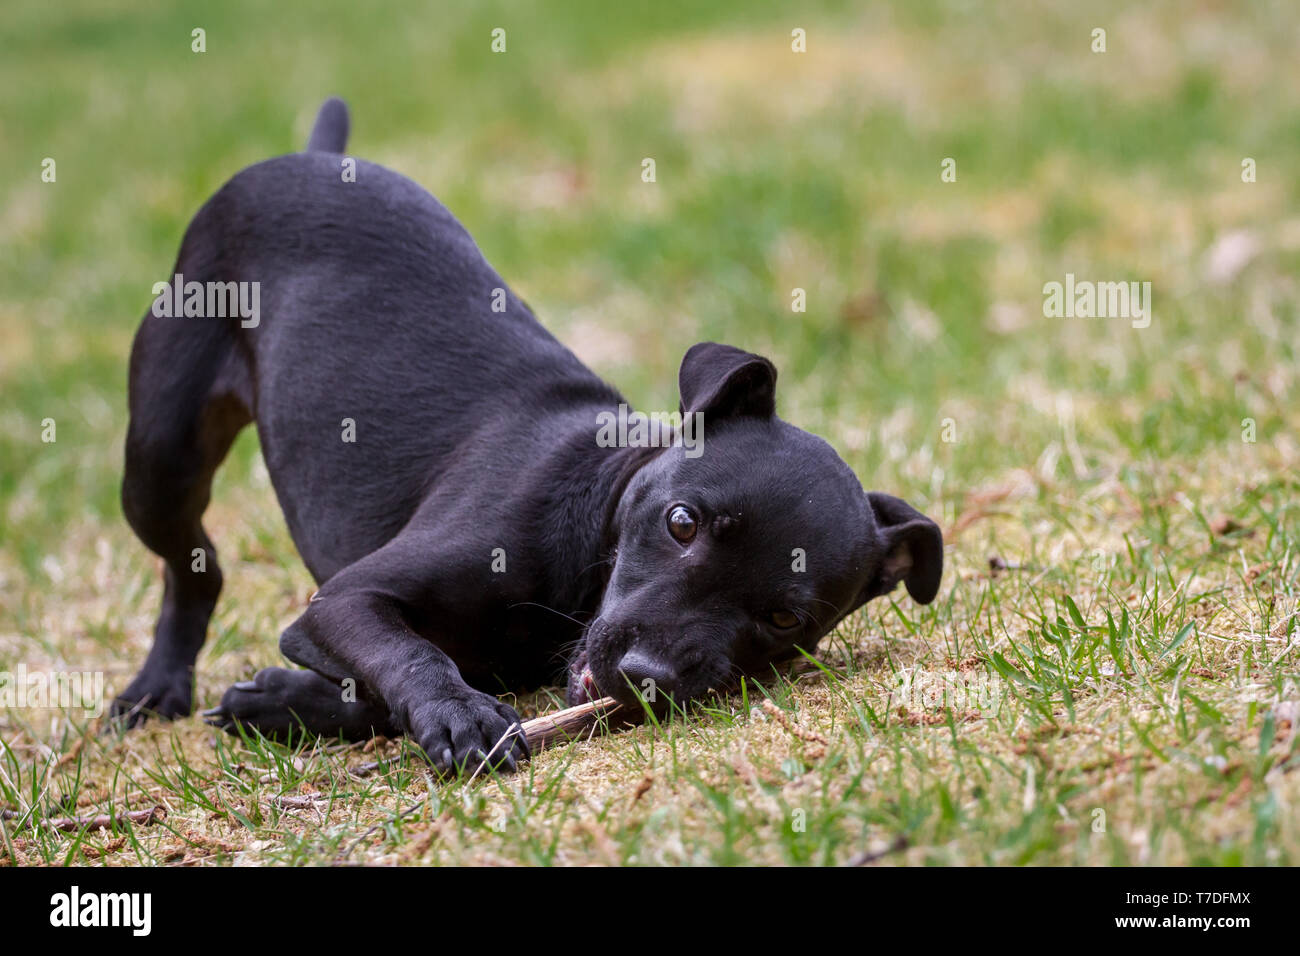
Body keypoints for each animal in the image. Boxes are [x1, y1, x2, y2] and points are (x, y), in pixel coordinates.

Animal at [111, 97, 946, 775]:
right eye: (682, 522)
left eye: (783, 620)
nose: (646, 676)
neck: (589, 531)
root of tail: (314, 153)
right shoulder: (345, 599)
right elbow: (413, 654)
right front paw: (458, 715)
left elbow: (391, 681)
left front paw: (282, 702)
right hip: (160, 459)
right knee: (195, 567)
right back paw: (156, 689)